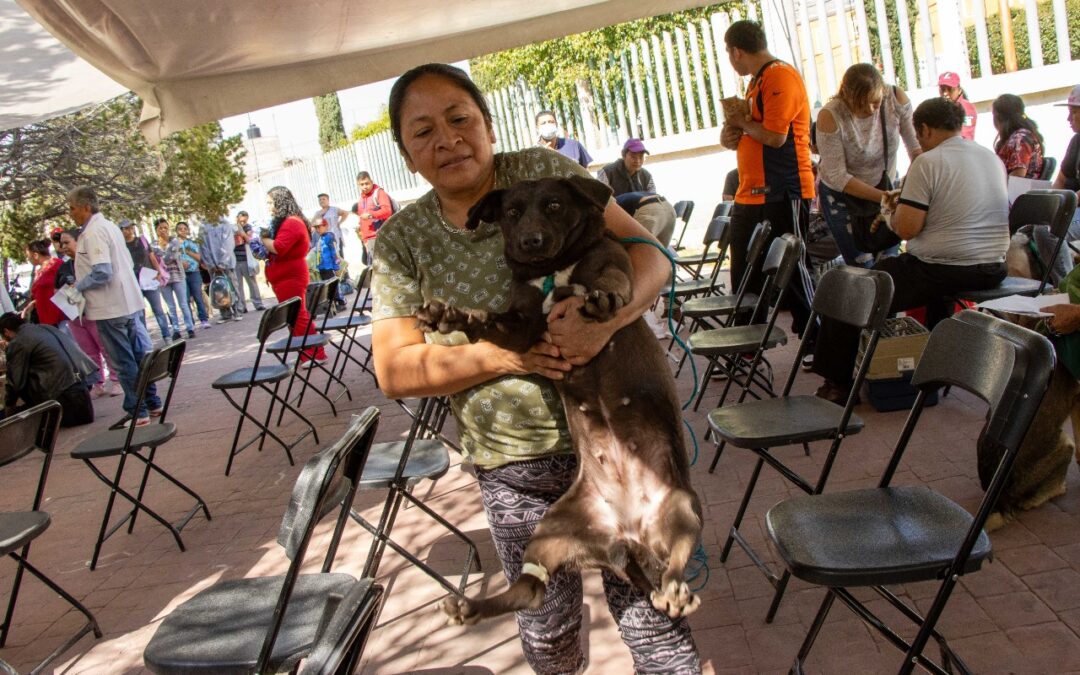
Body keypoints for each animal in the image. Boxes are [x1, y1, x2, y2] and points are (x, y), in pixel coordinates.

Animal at [412, 176, 699, 622]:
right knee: (530, 590)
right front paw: (453, 315)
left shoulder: (612, 266)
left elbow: (611, 282)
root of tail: (627, 532)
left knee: (678, 559)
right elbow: (489, 321)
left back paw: (675, 591)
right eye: (512, 212)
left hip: (682, 506)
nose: (530, 241)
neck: (551, 271)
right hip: (549, 531)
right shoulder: (524, 328)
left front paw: (602, 299)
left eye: (553, 205)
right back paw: (469, 606)